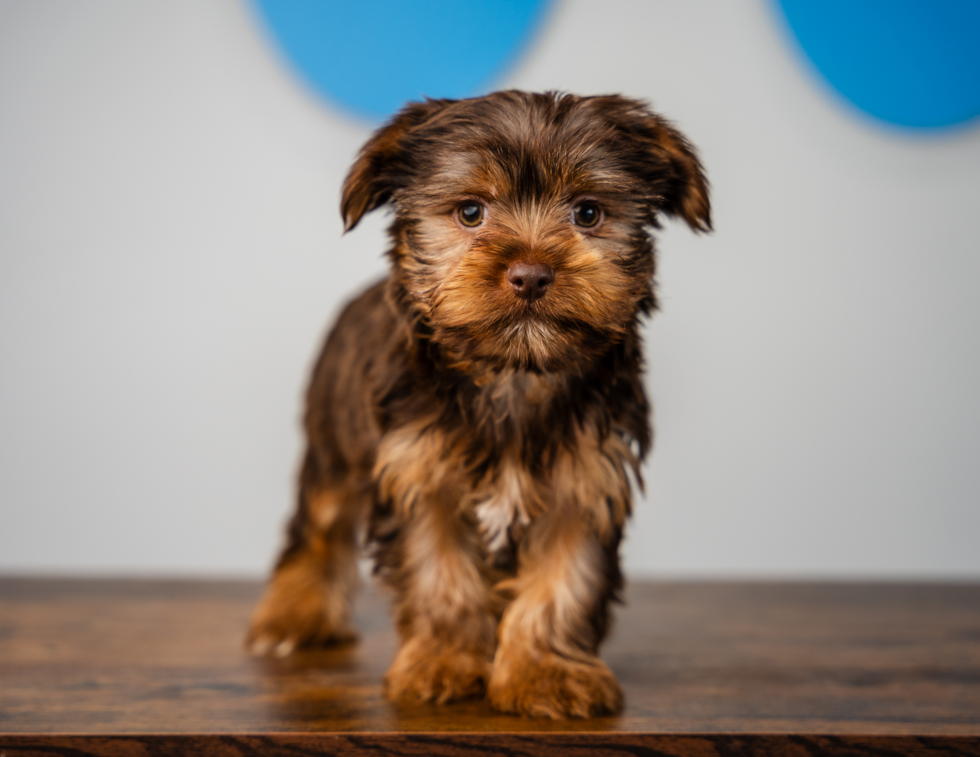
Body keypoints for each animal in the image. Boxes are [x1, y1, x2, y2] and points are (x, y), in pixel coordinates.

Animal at [244, 91, 704, 716]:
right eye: (470, 213)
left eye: (588, 213)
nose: (530, 275)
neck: (513, 372)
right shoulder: (417, 474)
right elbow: (439, 573)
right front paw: (443, 663)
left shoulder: (586, 481)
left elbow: (565, 580)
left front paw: (544, 671)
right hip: (332, 443)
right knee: (316, 525)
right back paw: (293, 616)